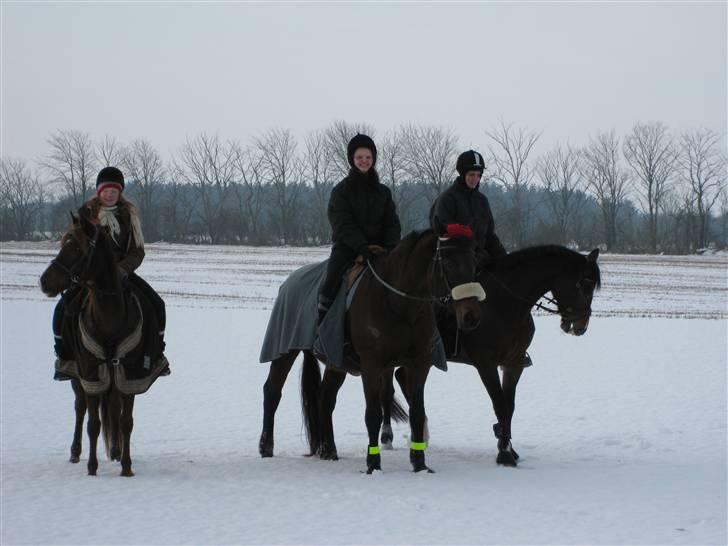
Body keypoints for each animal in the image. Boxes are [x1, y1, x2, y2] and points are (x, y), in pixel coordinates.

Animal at [40, 211, 166, 472]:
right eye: (64, 242)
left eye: (77, 248)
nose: (45, 281)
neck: (110, 318)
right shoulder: (91, 372)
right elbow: (93, 424)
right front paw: (92, 467)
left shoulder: (129, 373)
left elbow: (125, 420)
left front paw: (126, 466)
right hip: (76, 372)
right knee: (80, 408)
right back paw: (75, 452)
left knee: (112, 410)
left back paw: (116, 450)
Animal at [258, 227, 486, 470]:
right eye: (449, 262)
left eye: (474, 263)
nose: (471, 316)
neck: (400, 306)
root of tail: (290, 281)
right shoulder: (372, 365)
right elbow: (373, 414)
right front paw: (373, 463)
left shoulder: (419, 364)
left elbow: (417, 412)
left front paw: (419, 463)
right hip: (284, 350)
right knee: (272, 391)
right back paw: (266, 447)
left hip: (336, 364)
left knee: (325, 399)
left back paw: (329, 450)